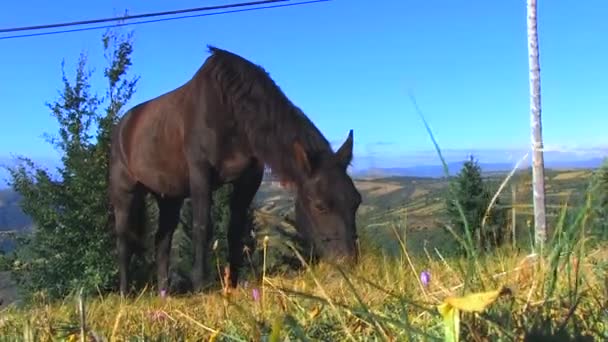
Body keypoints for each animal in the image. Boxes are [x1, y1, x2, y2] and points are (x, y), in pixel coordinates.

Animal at [108, 45, 360, 296]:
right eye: (319, 206)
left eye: (356, 201)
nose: (349, 262)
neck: (229, 109)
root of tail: (122, 126)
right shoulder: (200, 173)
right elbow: (202, 227)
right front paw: (200, 285)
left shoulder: (249, 178)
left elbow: (236, 230)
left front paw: (233, 283)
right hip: (125, 192)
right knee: (124, 241)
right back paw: (125, 293)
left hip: (169, 198)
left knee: (161, 241)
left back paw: (164, 295)